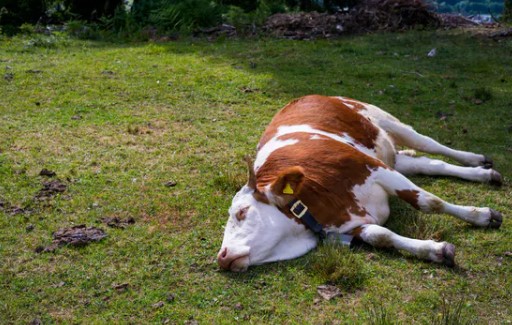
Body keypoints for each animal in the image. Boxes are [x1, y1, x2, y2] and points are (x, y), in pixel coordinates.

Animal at [215, 94, 500, 270]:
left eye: (242, 212)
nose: (222, 256)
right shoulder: (350, 226)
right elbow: (381, 235)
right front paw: (435, 251)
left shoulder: (375, 168)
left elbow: (429, 202)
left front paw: (482, 216)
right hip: (394, 156)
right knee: (430, 164)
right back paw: (484, 174)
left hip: (388, 122)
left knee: (432, 145)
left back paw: (476, 158)